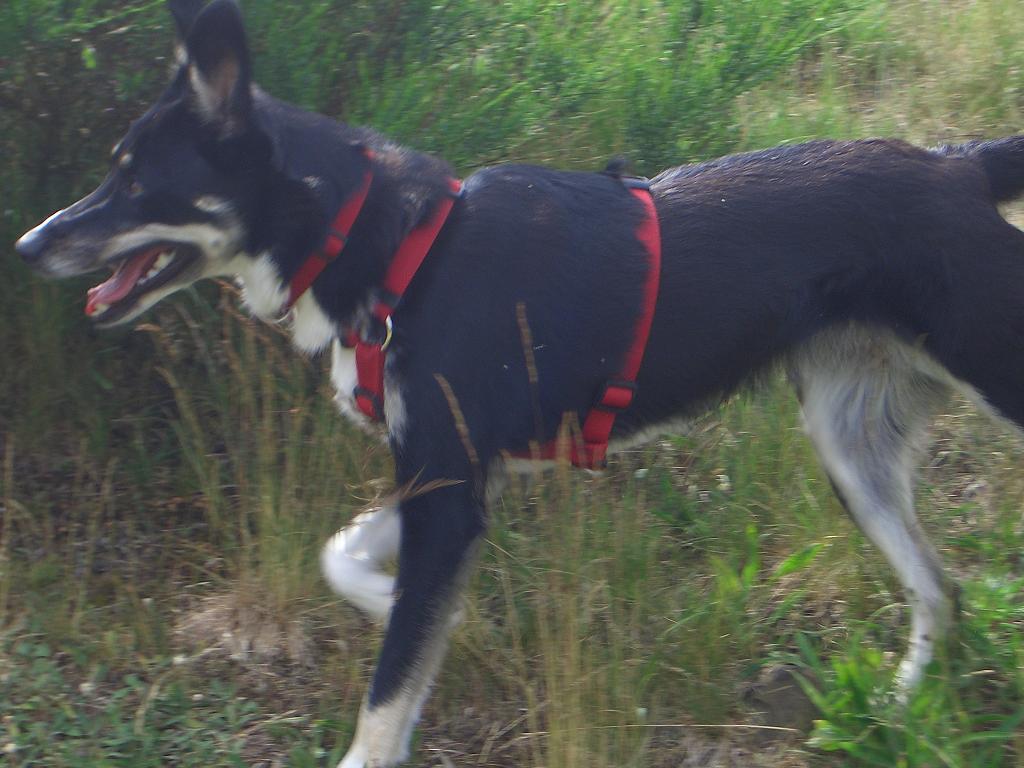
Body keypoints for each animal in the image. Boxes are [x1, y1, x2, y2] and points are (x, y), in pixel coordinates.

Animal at [14, 0, 1024, 765]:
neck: (402, 252)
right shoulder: (450, 476)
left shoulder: (450, 494)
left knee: (942, 583)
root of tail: (956, 164)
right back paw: (895, 713)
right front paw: (426, 614)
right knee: (941, 592)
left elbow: (385, 702)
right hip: (853, 450)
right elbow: (344, 560)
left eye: (133, 180)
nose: (27, 246)